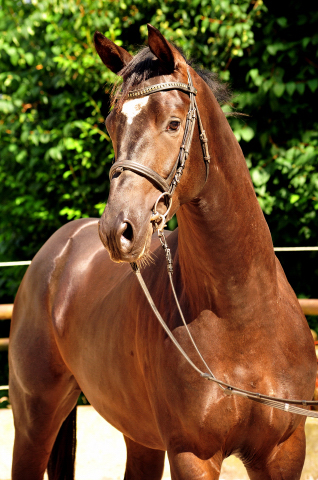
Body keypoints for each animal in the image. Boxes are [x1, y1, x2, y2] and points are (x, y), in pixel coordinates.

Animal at [9, 26, 316, 480]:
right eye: (111, 125)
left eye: (173, 123)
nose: (116, 230)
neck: (245, 316)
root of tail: (55, 252)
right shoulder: (193, 454)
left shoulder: (284, 452)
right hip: (34, 417)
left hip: (139, 435)